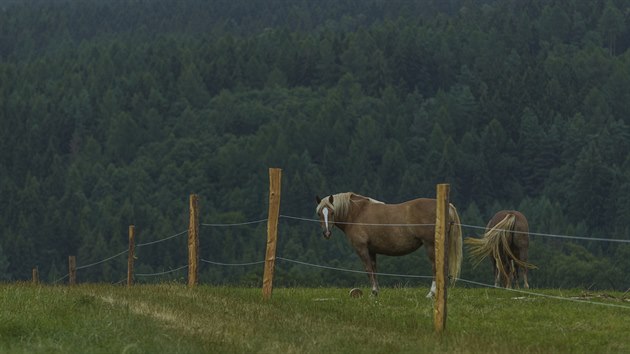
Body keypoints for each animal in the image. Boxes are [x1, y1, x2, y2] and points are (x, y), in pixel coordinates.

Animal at [316, 192, 464, 298]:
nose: (327, 233)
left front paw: (373, 292)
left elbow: (368, 270)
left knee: (435, 267)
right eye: (319, 213)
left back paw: (431, 293)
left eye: (332, 212)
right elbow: (374, 270)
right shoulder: (372, 251)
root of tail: (447, 206)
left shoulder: (362, 249)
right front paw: (376, 292)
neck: (357, 213)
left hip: (430, 245)